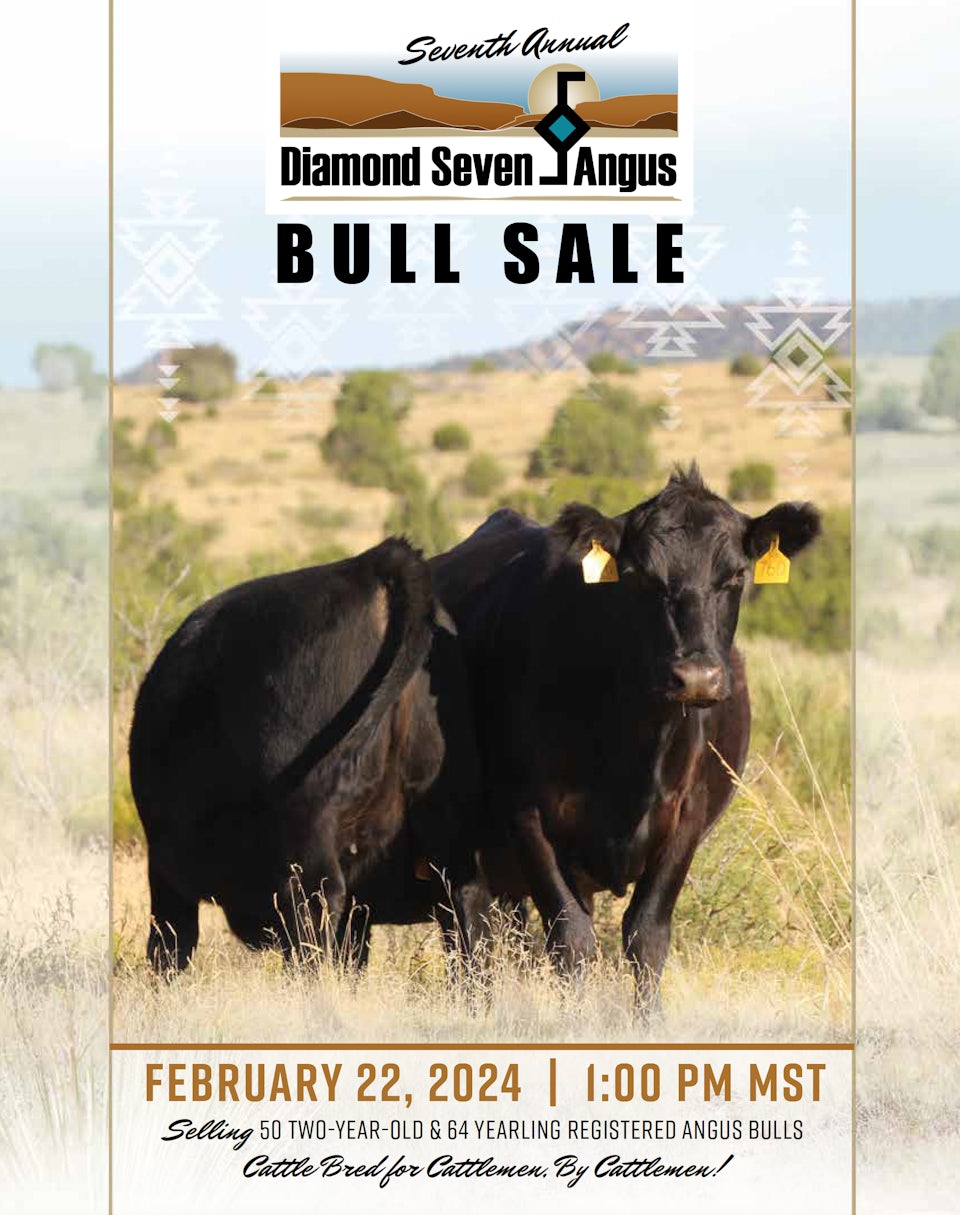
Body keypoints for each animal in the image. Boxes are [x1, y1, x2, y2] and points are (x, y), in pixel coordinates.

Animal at [128, 536, 489, 976]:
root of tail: (372, 562)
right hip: (450, 826)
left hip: (307, 847)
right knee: (467, 916)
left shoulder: (165, 873)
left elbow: (168, 948)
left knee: (312, 920)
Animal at [430, 464, 821, 1008]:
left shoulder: (687, 817)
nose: (696, 677)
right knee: (469, 929)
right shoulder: (527, 813)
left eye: (736, 576)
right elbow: (570, 937)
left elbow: (646, 935)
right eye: (642, 577)